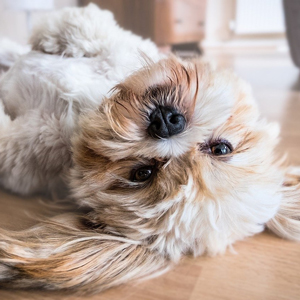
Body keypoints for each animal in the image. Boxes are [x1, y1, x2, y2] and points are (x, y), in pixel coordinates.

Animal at [0, 3, 300, 294]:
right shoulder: (118, 48)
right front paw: (50, 37)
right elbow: (87, 27)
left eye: (142, 173)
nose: (166, 122)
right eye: (222, 149)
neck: (85, 112)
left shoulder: (21, 153)